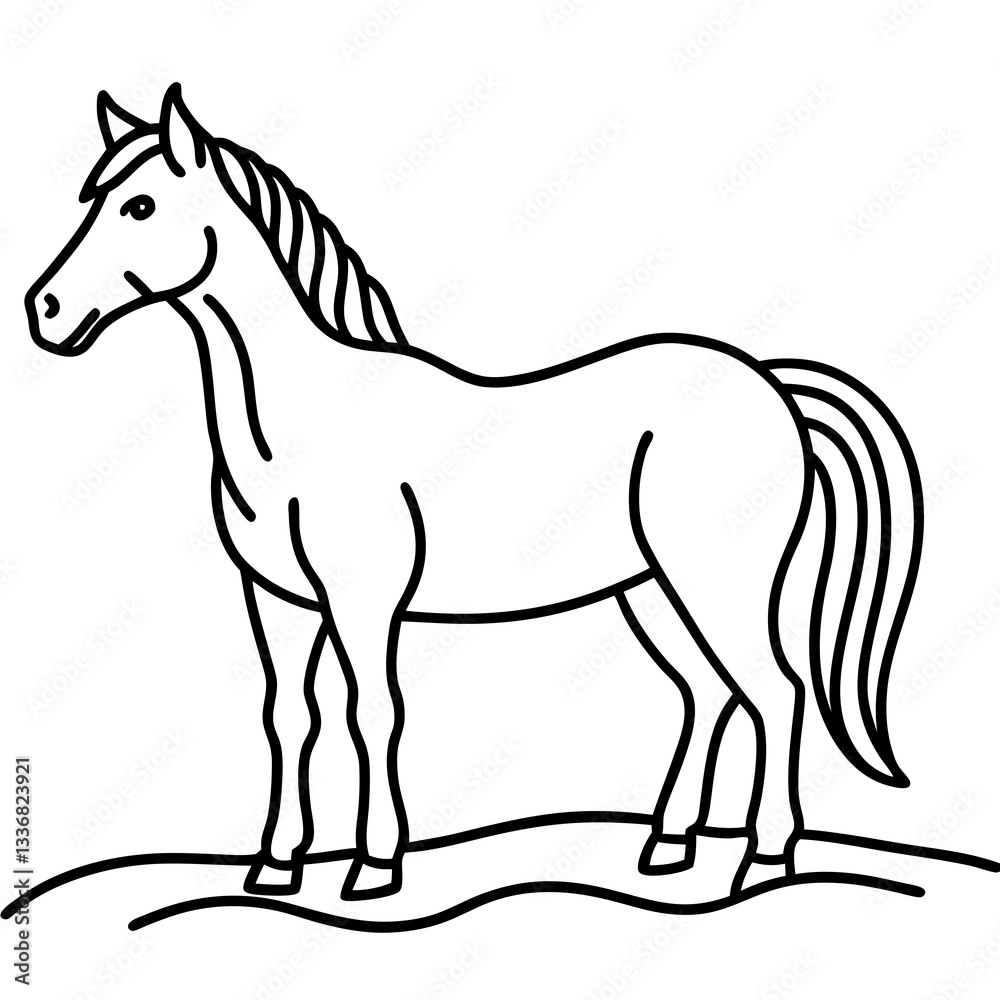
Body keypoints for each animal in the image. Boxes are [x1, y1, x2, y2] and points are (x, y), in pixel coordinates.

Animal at [26, 84, 922, 902]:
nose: (46, 309)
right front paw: (275, 867)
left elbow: (372, 712)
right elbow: (288, 719)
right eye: (95, 198)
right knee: (709, 694)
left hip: (713, 580)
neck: (303, 423)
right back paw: (669, 846)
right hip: (650, 590)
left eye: (140, 205)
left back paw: (764, 859)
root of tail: (769, 382)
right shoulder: (276, 600)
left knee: (775, 693)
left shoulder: (363, 599)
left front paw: (373, 867)